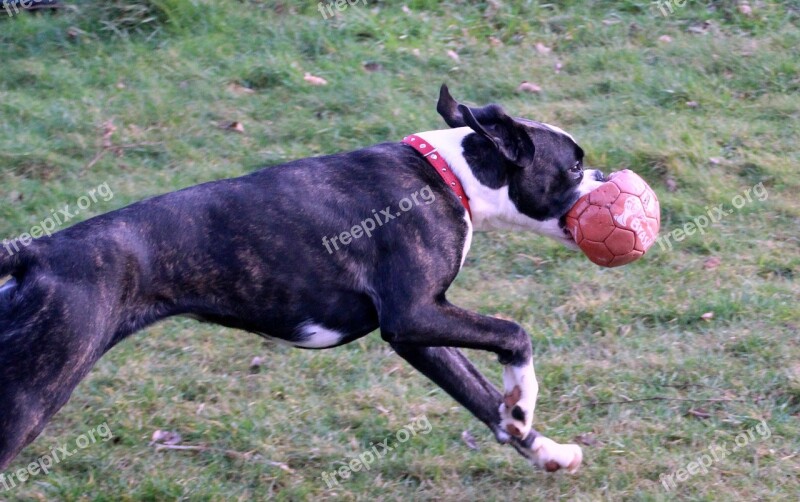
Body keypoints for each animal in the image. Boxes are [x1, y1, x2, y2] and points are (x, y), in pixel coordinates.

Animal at [0, 86, 604, 474]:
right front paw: (522, 402)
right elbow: (514, 335)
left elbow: (481, 399)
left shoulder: (420, 335)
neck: (448, 174)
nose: (603, 175)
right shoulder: (414, 315)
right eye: (574, 167)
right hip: (31, 394)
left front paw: (545, 449)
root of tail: (39, 251)